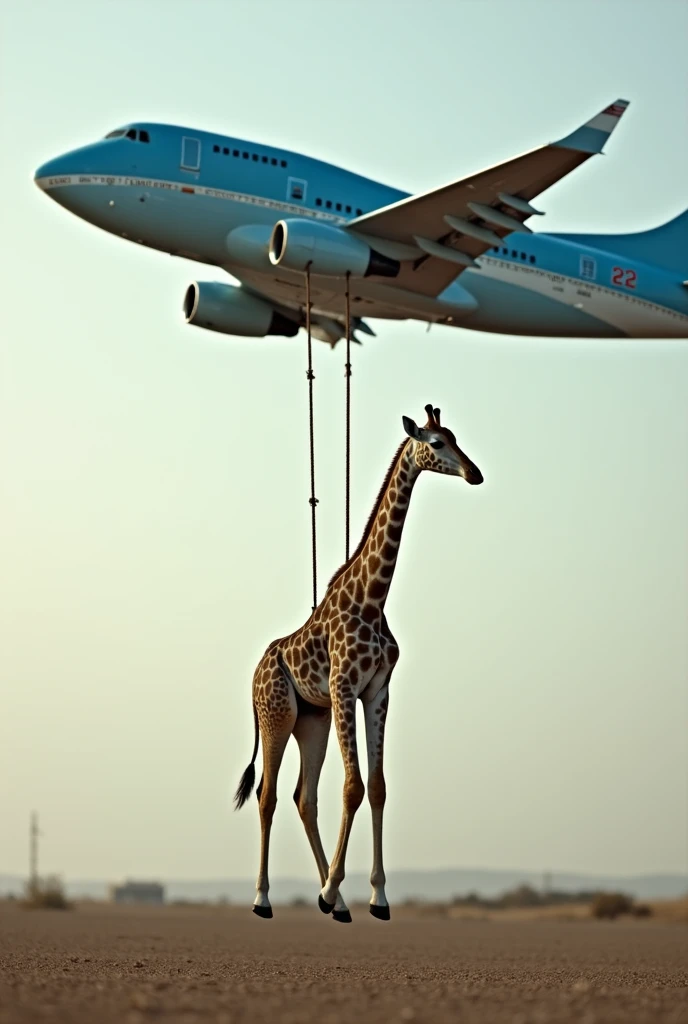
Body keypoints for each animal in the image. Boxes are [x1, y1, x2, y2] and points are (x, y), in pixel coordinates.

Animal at [236, 403, 483, 925]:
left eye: (456, 437)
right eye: (436, 442)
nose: (475, 473)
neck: (371, 599)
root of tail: (254, 674)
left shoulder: (377, 690)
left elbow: (378, 787)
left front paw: (374, 898)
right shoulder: (344, 686)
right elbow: (352, 787)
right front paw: (333, 891)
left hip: (313, 720)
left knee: (302, 798)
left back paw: (339, 905)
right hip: (277, 715)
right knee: (268, 796)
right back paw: (264, 900)